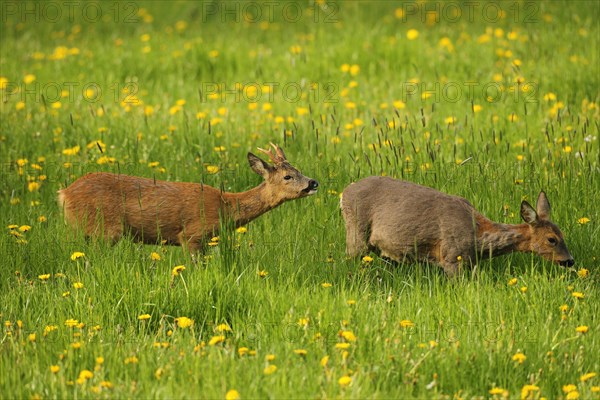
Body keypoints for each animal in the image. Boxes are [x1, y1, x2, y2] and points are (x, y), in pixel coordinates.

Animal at [57, 143, 318, 250]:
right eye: (287, 176)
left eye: (298, 170)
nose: (313, 183)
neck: (226, 207)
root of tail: (64, 194)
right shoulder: (192, 235)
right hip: (104, 229)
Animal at [340, 177, 576, 276]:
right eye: (551, 239)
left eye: (563, 234)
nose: (570, 260)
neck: (478, 238)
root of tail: (343, 193)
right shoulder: (452, 257)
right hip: (356, 232)